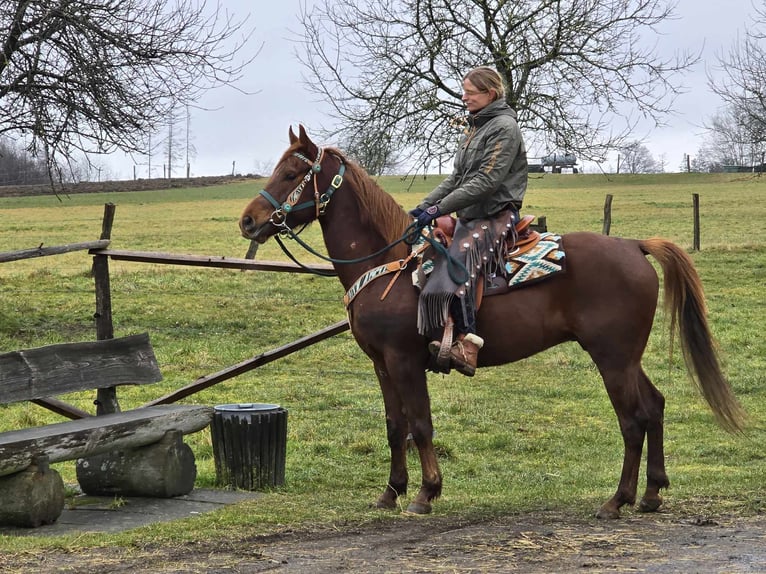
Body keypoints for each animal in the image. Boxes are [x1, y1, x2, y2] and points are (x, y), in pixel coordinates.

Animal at [238, 127, 744, 520]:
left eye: (291, 173)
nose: (248, 221)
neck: (391, 263)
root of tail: (633, 245)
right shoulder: (381, 364)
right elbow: (394, 426)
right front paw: (390, 492)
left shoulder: (405, 361)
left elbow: (420, 425)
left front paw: (425, 493)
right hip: (625, 356)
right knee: (654, 406)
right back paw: (652, 494)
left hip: (612, 358)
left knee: (633, 419)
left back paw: (616, 501)